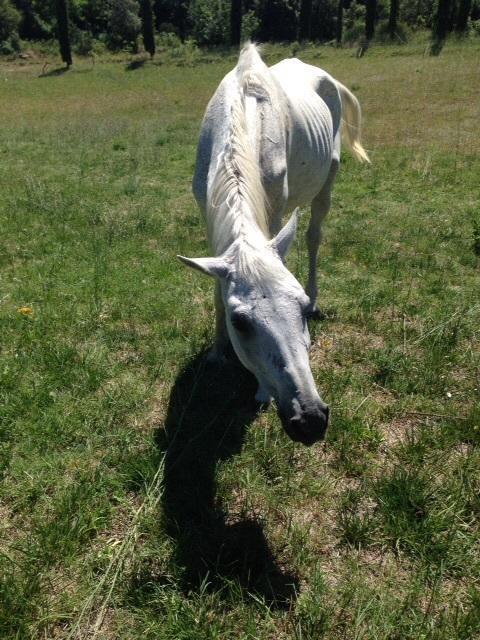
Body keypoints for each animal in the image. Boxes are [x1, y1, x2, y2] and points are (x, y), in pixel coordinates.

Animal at [178, 43, 370, 444]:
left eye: (300, 310)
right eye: (240, 323)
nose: (310, 420)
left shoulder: (275, 211)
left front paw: (262, 393)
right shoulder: (208, 216)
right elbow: (217, 288)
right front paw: (218, 351)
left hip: (328, 179)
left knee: (313, 237)